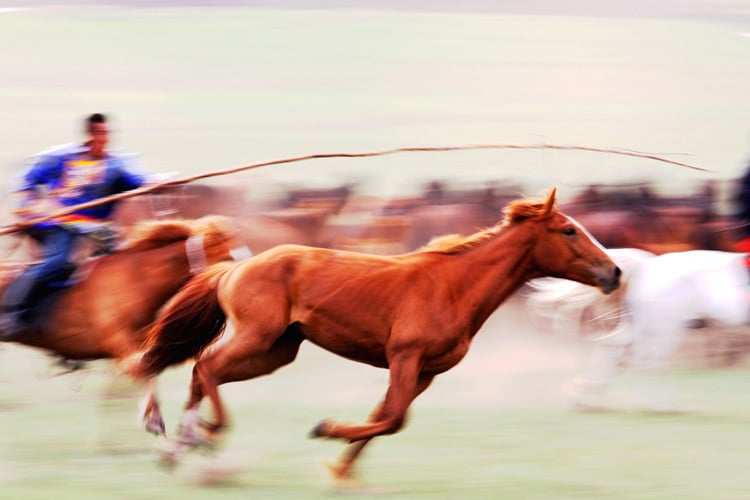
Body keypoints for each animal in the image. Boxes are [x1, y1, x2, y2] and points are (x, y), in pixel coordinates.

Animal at [0, 215, 253, 434]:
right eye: (226, 255)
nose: (239, 280)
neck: (135, 279)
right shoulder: (120, 341)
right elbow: (143, 369)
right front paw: (153, 419)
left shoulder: (139, 343)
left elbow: (146, 370)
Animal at [129, 188, 624, 484]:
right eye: (568, 230)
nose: (614, 272)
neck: (455, 286)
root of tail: (236, 267)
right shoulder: (405, 357)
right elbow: (393, 419)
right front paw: (327, 431)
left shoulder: (425, 372)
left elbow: (384, 416)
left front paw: (340, 469)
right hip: (257, 337)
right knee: (207, 366)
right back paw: (203, 436)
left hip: (276, 352)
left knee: (201, 371)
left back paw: (179, 447)